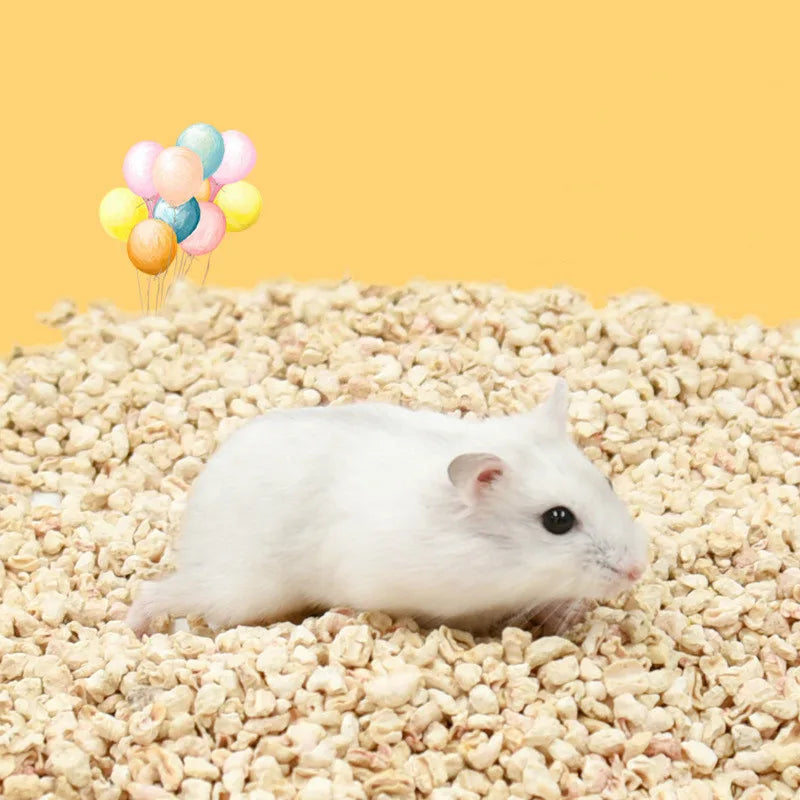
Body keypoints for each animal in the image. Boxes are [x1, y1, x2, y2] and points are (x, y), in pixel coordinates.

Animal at [126, 378, 649, 637]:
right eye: (557, 520)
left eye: (606, 481)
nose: (638, 571)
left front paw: (575, 617)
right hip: (241, 590)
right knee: (163, 592)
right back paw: (135, 627)